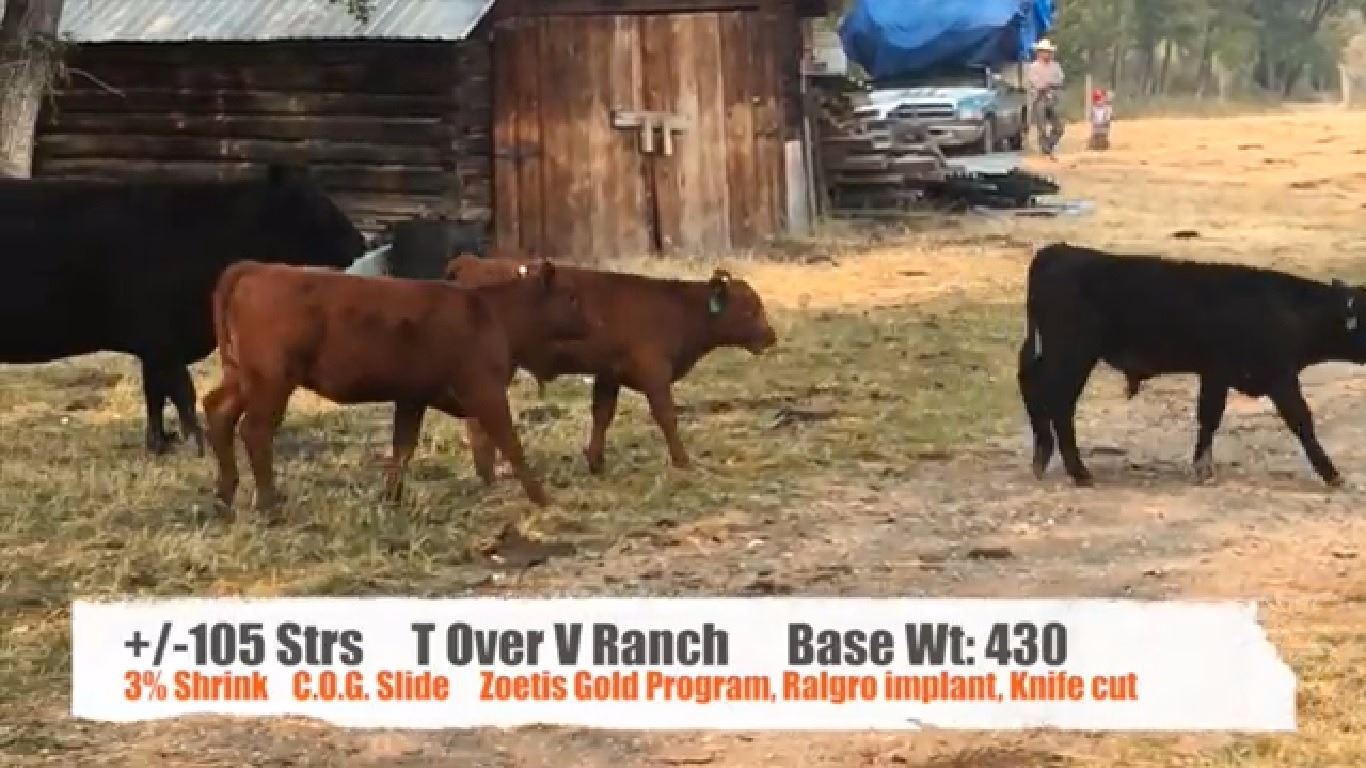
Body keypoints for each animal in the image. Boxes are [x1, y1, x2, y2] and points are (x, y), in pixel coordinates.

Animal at [0, 165, 365, 456]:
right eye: (314, 204)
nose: (363, 242)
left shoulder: (155, 347)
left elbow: (155, 393)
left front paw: (160, 443)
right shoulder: (162, 339)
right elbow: (181, 392)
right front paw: (198, 443)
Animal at [201, 259, 588, 519]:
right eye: (570, 297)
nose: (588, 321)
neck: (492, 313)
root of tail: (258, 268)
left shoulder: (412, 397)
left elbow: (403, 448)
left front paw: (391, 499)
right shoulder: (485, 390)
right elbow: (510, 442)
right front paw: (543, 499)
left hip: (241, 378)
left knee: (218, 412)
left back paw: (224, 497)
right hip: (271, 381)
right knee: (255, 430)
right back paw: (268, 506)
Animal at [443, 253, 778, 480]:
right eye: (750, 309)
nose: (771, 336)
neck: (679, 308)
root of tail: (472, 262)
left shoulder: (608, 374)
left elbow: (602, 415)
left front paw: (595, 461)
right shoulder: (655, 373)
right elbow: (667, 417)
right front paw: (683, 461)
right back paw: (489, 473)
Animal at [1018, 241, 1366, 487]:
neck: (1290, 310)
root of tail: (1057, 251)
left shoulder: (1216, 374)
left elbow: (1209, 417)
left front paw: (1202, 466)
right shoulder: (1279, 377)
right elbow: (1302, 420)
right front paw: (1331, 473)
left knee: (1033, 389)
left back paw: (1042, 456)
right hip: (1072, 355)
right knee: (1059, 403)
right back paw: (1078, 472)